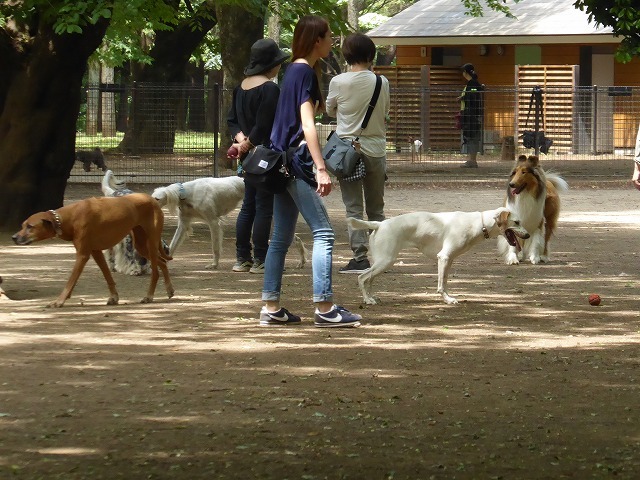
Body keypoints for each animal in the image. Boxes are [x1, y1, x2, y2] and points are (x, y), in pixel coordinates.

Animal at [14, 192, 175, 308]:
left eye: (30, 226)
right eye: (22, 225)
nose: (14, 237)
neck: (69, 217)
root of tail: (152, 198)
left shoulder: (82, 255)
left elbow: (71, 281)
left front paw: (59, 301)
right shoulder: (96, 252)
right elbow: (107, 275)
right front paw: (114, 297)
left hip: (151, 242)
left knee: (155, 272)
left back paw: (149, 296)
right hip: (141, 245)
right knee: (162, 262)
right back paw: (169, 289)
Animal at [152, 178, 308, 272]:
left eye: (157, 198)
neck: (188, 193)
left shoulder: (213, 222)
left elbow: (215, 248)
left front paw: (214, 264)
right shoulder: (183, 224)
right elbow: (172, 246)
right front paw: (163, 261)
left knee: (294, 240)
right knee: (296, 239)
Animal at [348, 206, 528, 304]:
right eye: (517, 222)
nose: (527, 235)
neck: (480, 222)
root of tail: (379, 224)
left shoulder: (449, 260)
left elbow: (445, 282)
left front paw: (447, 297)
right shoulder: (444, 257)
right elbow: (441, 285)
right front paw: (447, 300)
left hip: (382, 262)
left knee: (369, 279)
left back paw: (371, 297)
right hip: (385, 261)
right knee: (362, 278)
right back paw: (367, 300)